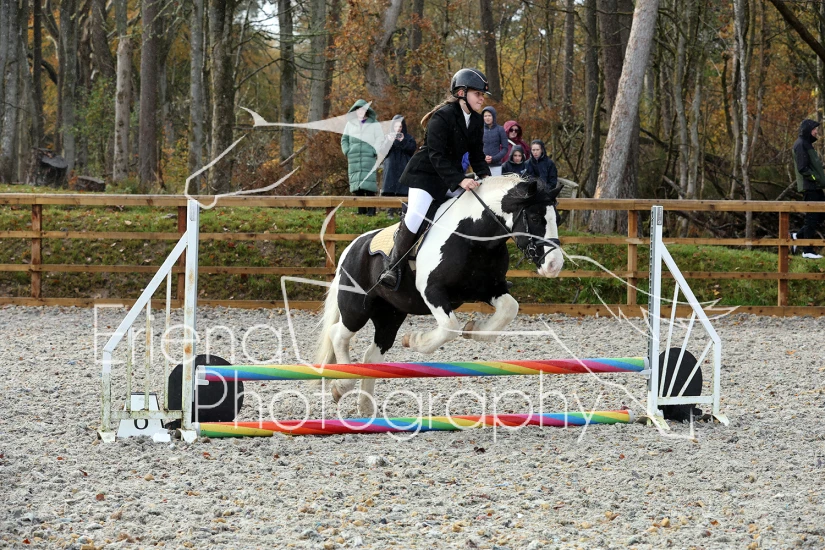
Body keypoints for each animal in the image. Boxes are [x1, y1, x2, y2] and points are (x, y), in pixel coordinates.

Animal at [315, 174, 564, 415]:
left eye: (558, 220)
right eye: (535, 218)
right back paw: (342, 386)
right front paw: (414, 340)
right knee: (338, 334)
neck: (472, 235)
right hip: (357, 308)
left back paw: (366, 407)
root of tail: (352, 247)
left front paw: (474, 329)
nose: (554, 265)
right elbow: (450, 326)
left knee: (372, 355)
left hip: (391, 314)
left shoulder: (491, 289)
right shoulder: (432, 290)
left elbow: (509, 309)